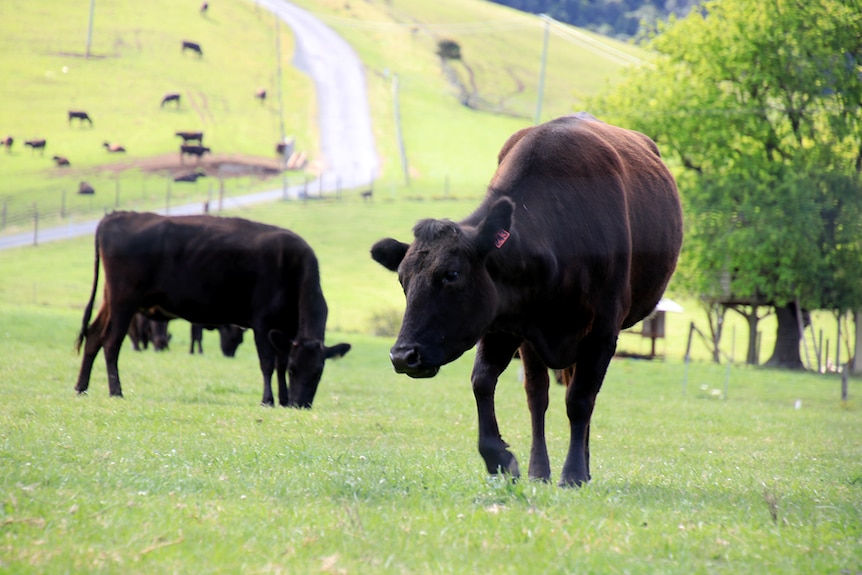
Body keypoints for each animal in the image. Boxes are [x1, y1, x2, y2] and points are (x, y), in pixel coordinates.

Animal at [74, 211, 351, 407]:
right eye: (296, 370)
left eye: (318, 373)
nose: (299, 404)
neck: (293, 270)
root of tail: (116, 216)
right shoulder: (262, 324)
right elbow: (268, 364)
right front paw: (268, 400)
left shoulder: (285, 330)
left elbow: (279, 362)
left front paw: (282, 400)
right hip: (124, 301)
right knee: (111, 343)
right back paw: (116, 391)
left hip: (110, 300)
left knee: (93, 336)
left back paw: (81, 387)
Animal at [370, 114, 683, 487]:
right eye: (402, 281)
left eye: (452, 274)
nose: (403, 356)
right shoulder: (504, 323)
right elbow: (484, 382)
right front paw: (501, 459)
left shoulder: (603, 331)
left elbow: (580, 400)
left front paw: (573, 474)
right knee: (539, 396)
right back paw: (541, 470)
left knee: (579, 397)